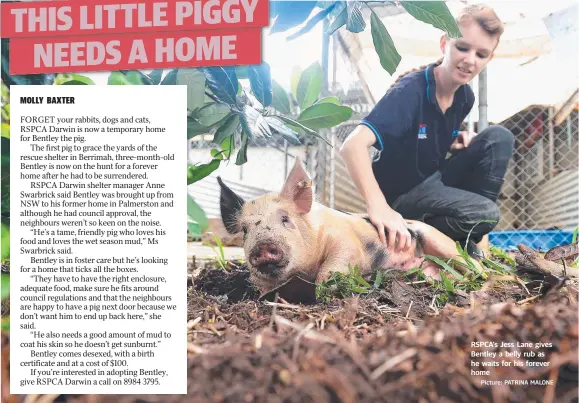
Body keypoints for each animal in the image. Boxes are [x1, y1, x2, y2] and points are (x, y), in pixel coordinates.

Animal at [218, 157, 476, 294]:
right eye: (245, 231)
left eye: (285, 219)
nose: (262, 245)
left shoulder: (347, 241)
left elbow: (335, 263)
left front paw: (325, 288)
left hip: (438, 241)